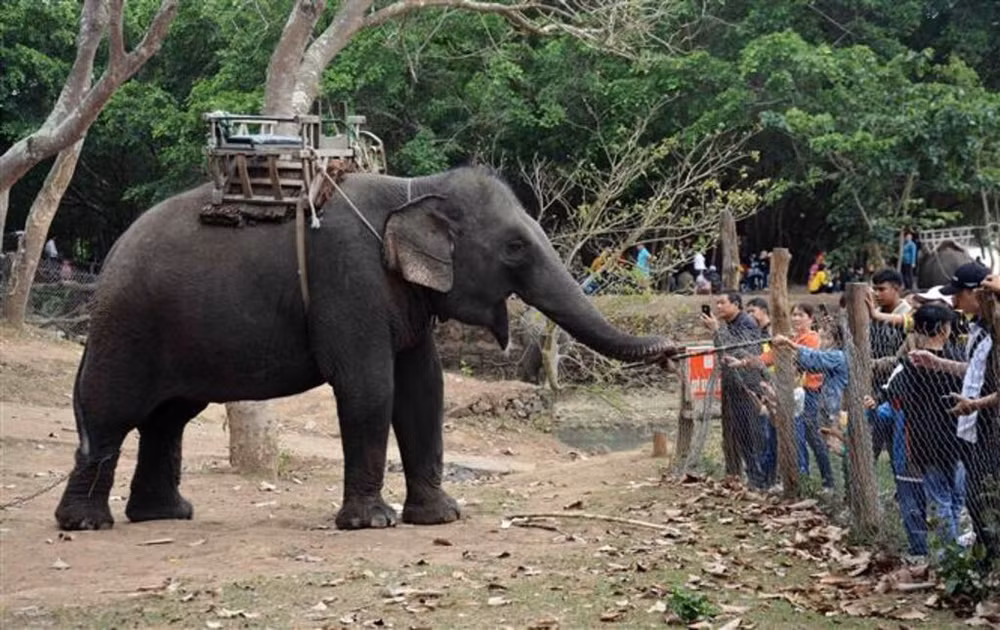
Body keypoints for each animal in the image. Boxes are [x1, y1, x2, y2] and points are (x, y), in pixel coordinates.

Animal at [54, 167, 675, 532]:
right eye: (515, 247)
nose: (675, 350)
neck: (413, 188)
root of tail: (108, 258)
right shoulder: (349, 278)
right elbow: (370, 386)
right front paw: (373, 523)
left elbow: (425, 389)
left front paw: (441, 518)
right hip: (129, 324)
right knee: (112, 411)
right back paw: (87, 524)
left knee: (169, 417)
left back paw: (165, 515)